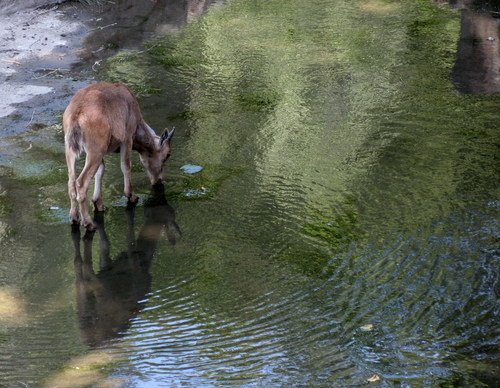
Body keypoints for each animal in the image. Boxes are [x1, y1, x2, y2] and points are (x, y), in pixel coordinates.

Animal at [63, 80, 175, 229]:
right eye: (167, 154)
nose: (159, 181)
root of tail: (75, 116)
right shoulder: (127, 137)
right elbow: (126, 165)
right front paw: (132, 196)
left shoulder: (104, 150)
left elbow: (101, 170)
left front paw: (99, 204)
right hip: (95, 148)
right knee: (80, 182)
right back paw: (88, 223)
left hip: (71, 147)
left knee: (71, 181)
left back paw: (74, 218)